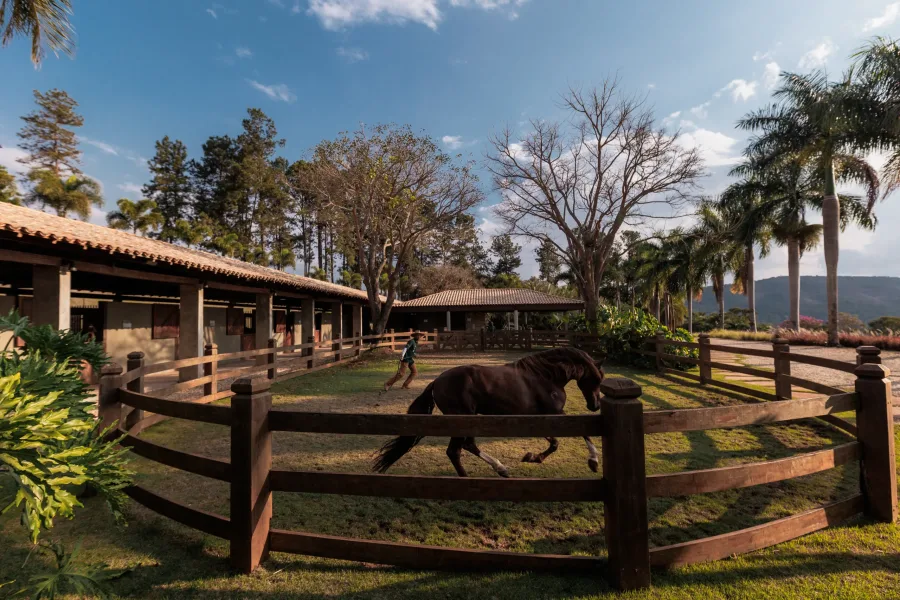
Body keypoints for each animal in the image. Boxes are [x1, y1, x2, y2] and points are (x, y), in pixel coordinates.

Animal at [372, 346, 604, 478]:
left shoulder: (540, 417)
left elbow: (554, 443)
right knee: (455, 450)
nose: (595, 406)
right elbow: (580, 434)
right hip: (462, 418)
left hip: (469, 419)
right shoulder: (555, 414)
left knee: (467, 445)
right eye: (597, 379)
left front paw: (532, 457)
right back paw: (474, 476)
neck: (545, 376)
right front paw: (593, 462)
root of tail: (437, 382)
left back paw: (500, 469)